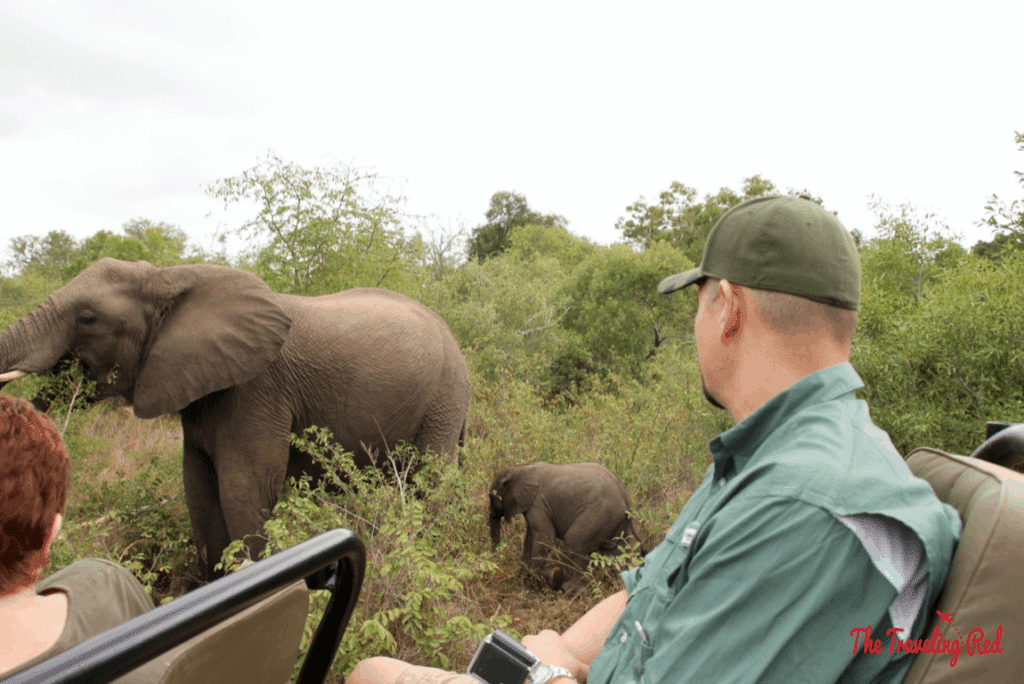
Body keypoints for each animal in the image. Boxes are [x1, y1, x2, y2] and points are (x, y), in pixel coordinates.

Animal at [0, 258, 471, 580]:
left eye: (86, 318)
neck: (169, 279)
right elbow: (199, 488)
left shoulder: (257, 389)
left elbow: (244, 488)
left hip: (444, 397)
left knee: (431, 478)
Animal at [488, 461, 643, 594]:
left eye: (492, 498)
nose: (495, 558)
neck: (520, 469)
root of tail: (625, 496)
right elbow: (530, 538)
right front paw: (523, 580)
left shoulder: (537, 503)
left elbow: (544, 537)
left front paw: (553, 576)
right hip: (617, 522)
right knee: (616, 552)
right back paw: (616, 587)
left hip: (600, 514)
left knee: (575, 542)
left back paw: (570, 590)